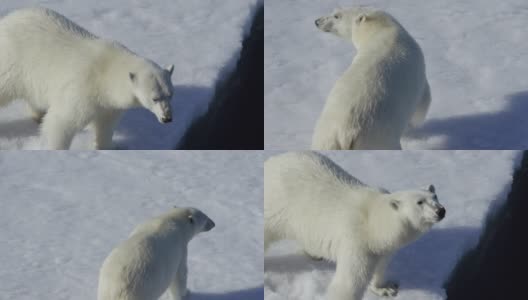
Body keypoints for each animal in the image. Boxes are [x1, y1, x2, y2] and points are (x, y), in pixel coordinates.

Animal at [0, 7, 175, 150]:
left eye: (170, 95)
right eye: (155, 98)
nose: (167, 118)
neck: (106, 72)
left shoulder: (109, 105)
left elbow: (105, 125)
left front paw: (106, 146)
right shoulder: (83, 88)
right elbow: (62, 122)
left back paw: (37, 115)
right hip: (12, 60)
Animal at [264, 152, 446, 300]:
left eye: (435, 196)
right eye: (420, 202)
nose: (441, 211)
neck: (374, 224)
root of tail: (271, 161)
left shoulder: (382, 248)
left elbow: (381, 265)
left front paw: (385, 288)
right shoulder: (357, 242)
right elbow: (349, 283)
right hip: (276, 205)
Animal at [312, 7, 432, 150]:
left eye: (336, 15)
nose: (317, 21)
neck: (381, 30)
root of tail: (345, 134)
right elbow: (423, 103)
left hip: (327, 138)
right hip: (377, 135)